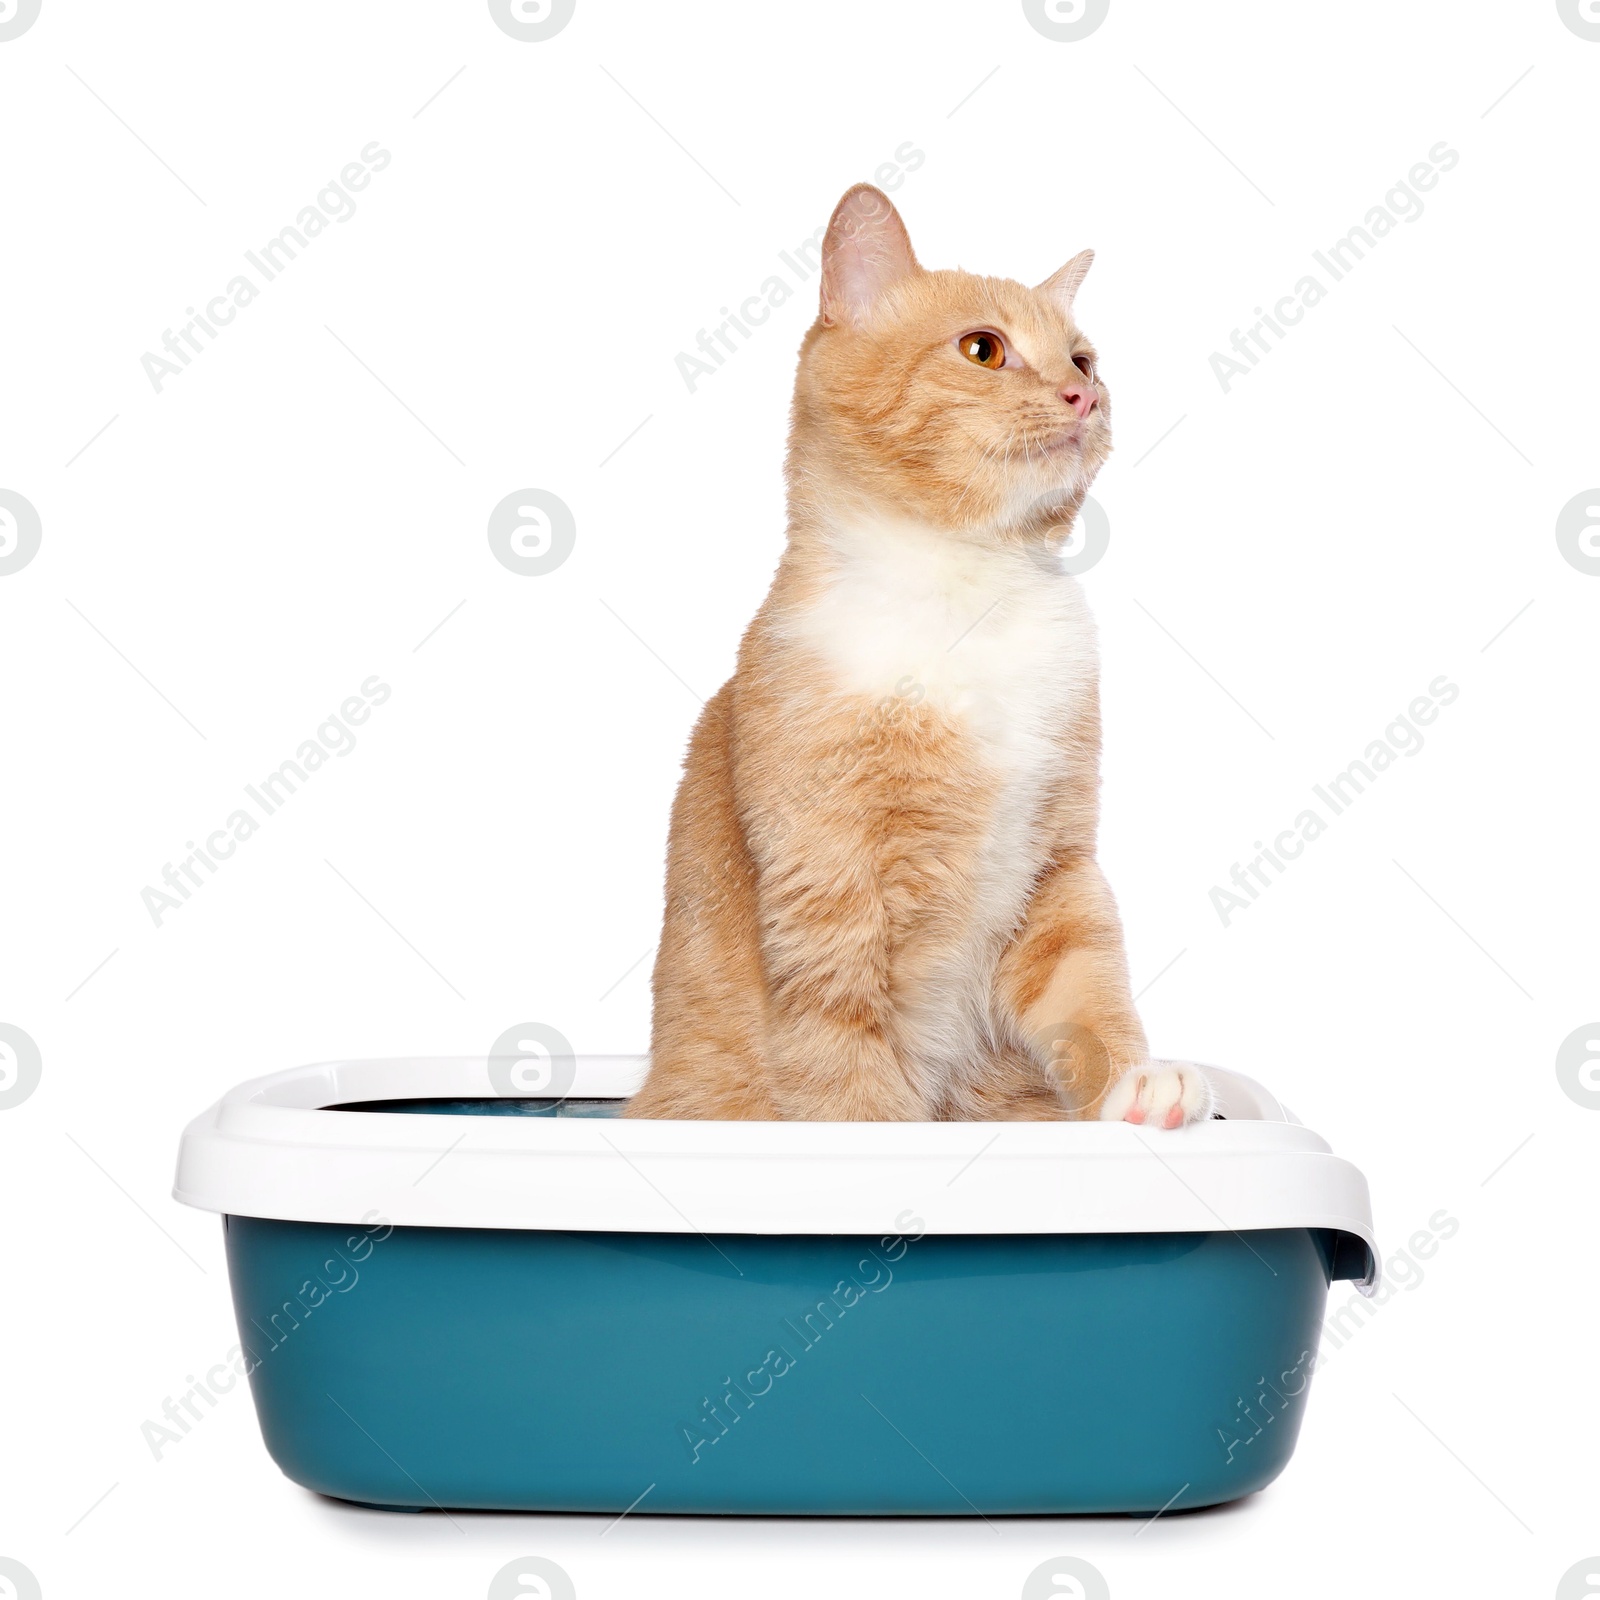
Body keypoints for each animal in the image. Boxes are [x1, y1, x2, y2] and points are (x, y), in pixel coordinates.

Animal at [627, 184, 1209, 1126]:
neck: (971, 592)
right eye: (984, 349)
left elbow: (1089, 985)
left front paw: (1137, 1082)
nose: (1081, 397)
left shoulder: (1058, 870)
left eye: (1084, 360)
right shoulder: (828, 890)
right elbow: (847, 1068)